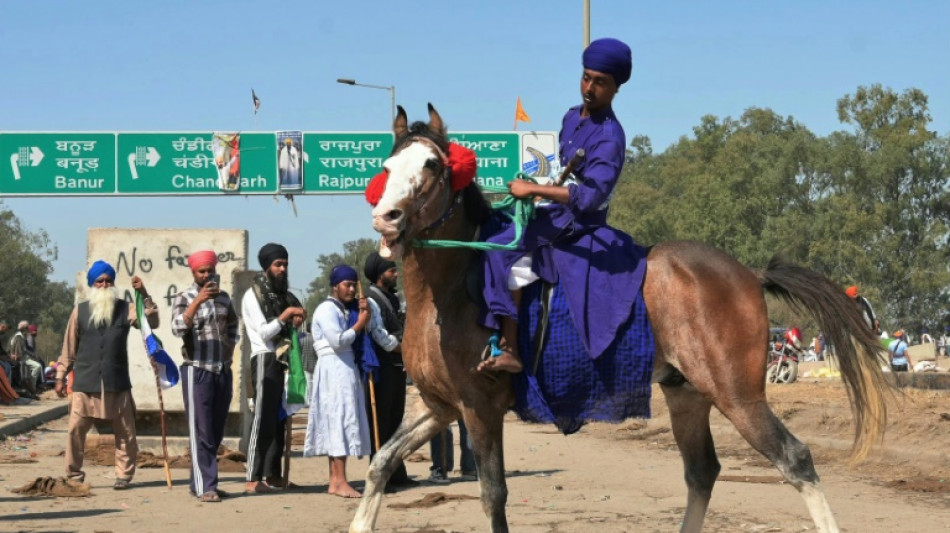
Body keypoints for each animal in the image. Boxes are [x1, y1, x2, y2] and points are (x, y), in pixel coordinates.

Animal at [350, 104, 892, 532]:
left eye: (432, 164)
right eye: (387, 165)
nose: (386, 216)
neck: (450, 288)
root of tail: (748, 272)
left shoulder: (479, 408)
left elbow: (493, 496)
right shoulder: (439, 406)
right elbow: (380, 462)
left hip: (737, 394)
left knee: (794, 459)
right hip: (687, 393)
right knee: (702, 472)